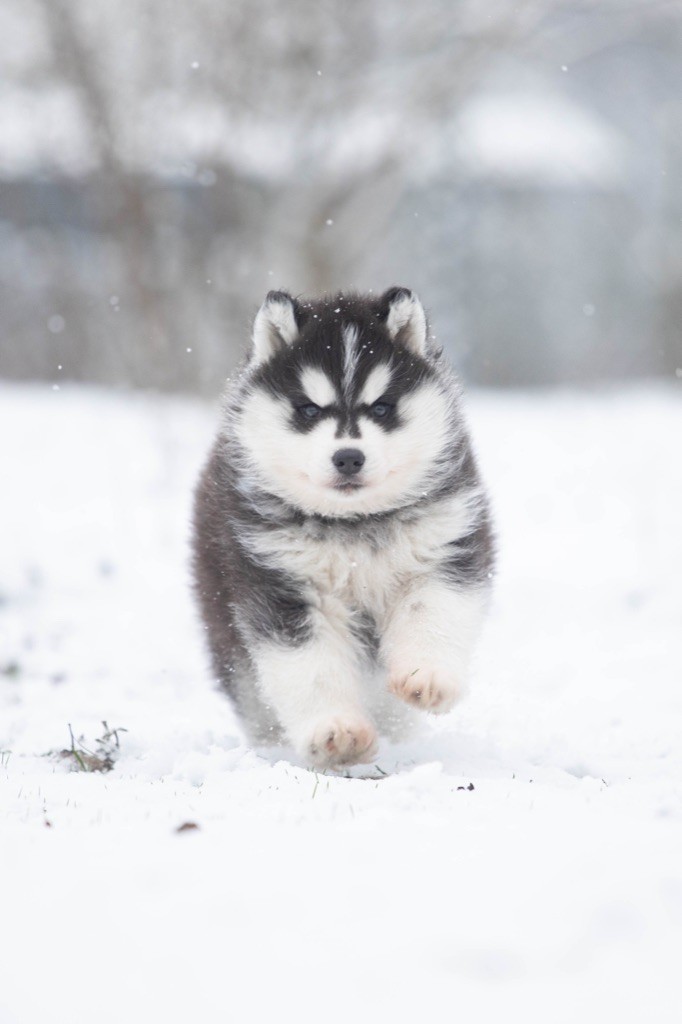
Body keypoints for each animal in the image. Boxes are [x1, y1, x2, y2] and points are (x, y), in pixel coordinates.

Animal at [191, 284, 493, 765]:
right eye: (309, 410)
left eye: (383, 407)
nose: (349, 457)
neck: (354, 525)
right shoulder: (281, 588)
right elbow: (309, 665)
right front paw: (336, 730)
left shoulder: (445, 547)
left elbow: (432, 612)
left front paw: (427, 678)